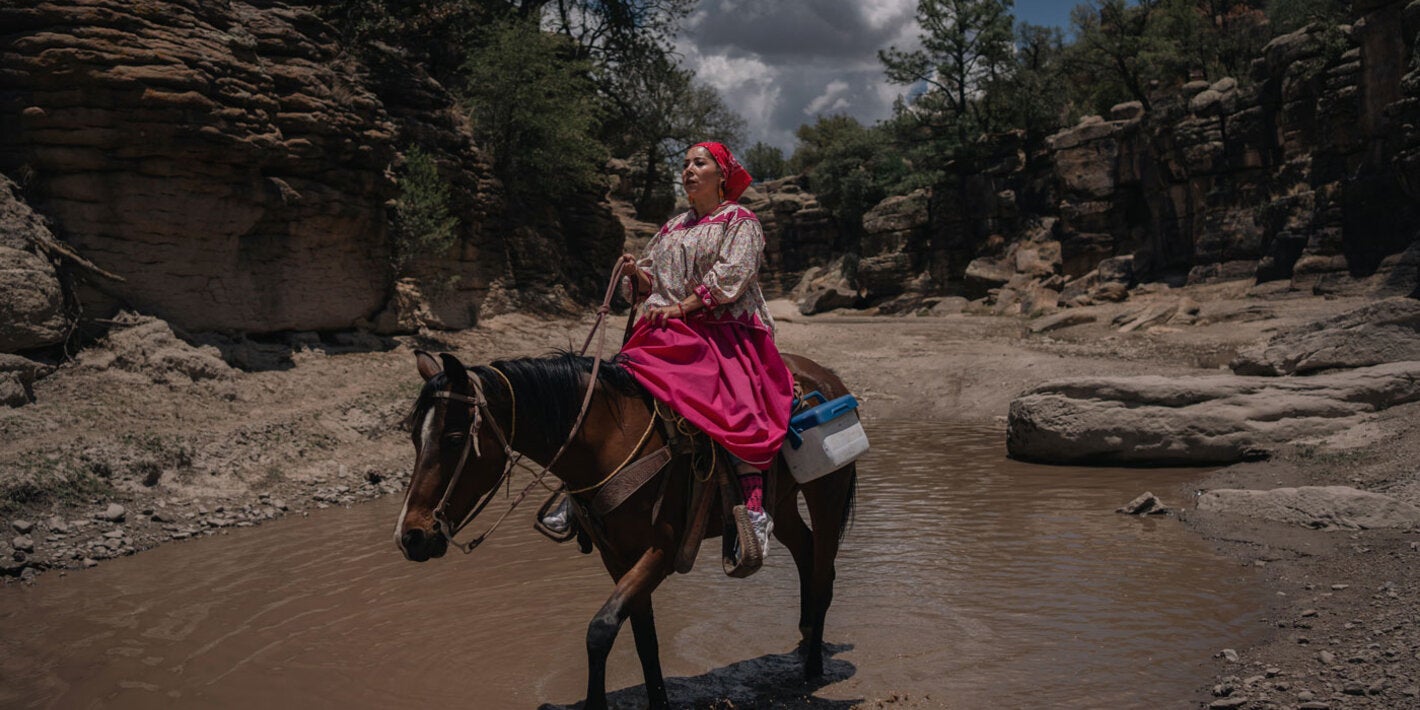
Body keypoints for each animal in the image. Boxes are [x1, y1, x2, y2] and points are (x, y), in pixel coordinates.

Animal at [391, 346, 852, 707]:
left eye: (454, 439)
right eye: (414, 438)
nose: (411, 536)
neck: (608, 442)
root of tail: (827, 377)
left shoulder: (662, 551)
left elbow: (601, 629)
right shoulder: (616, 556)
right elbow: (643, 637)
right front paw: (659, 701)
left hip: (826, 493)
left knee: (823, 570)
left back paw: (813, 669)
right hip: (783, 502)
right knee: (806, 553)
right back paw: (804, 640)